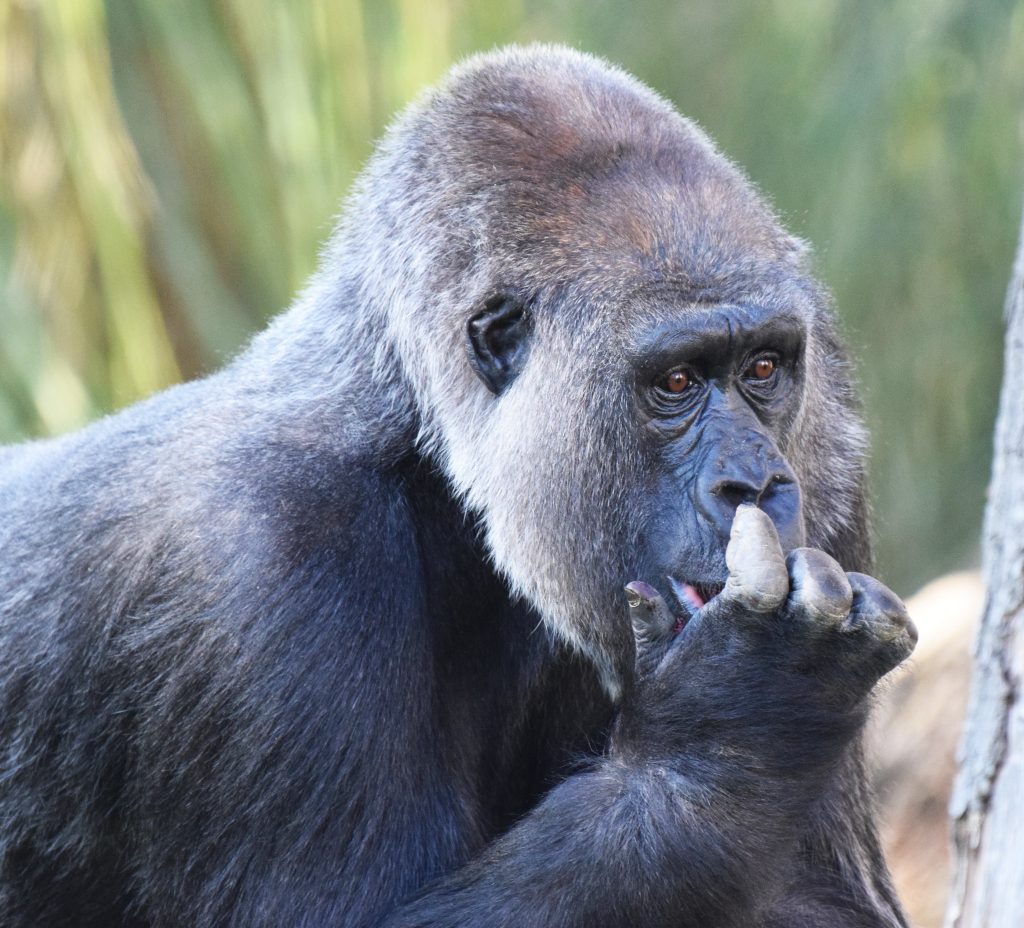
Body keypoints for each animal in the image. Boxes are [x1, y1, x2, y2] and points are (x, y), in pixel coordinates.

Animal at [0, 45, 915, 927]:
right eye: (678, 382)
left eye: (763, 368)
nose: (756, 482)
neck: (420, 435)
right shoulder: (266, 554)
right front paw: (737, 725)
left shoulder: (830, 438)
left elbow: (830, 899)